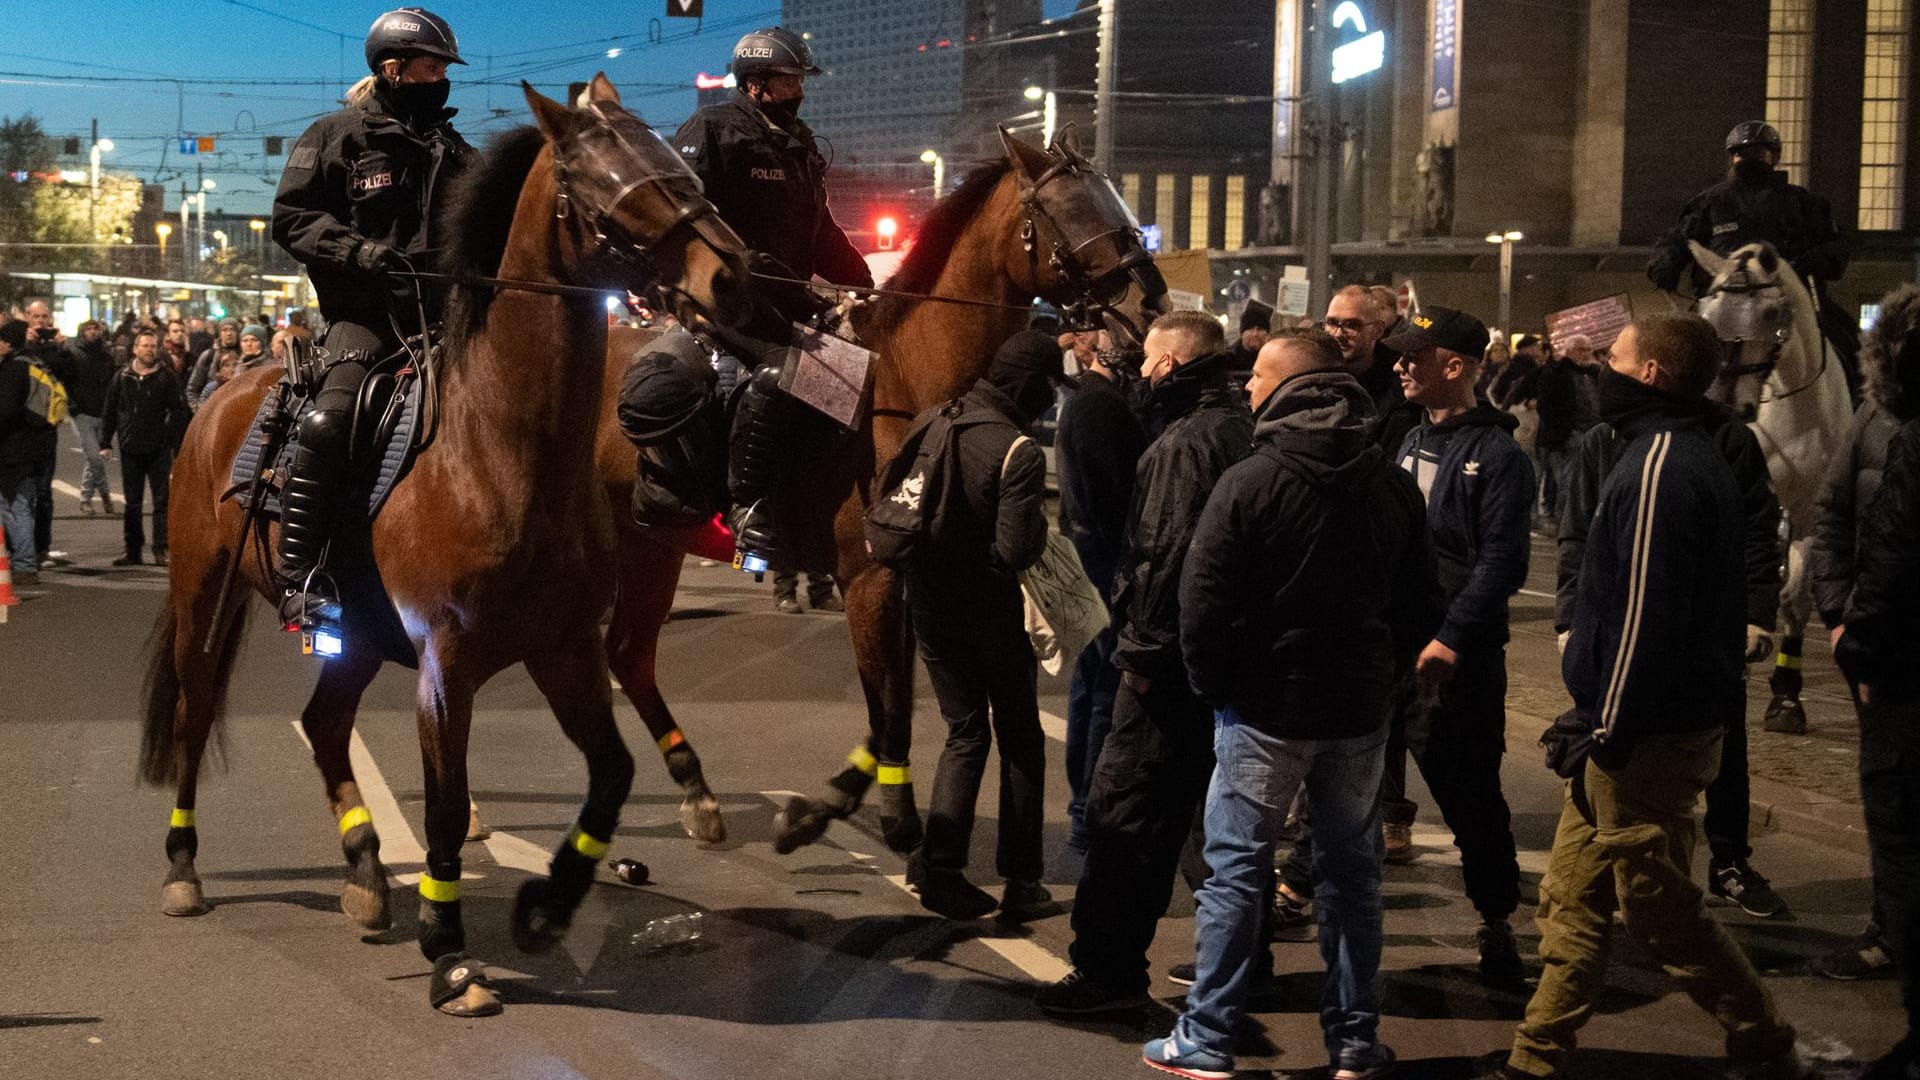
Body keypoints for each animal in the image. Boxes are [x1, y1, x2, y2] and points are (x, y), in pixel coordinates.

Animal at [135, 79, 768, 1014]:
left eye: (668, 153)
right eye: (593, 174)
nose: (734, 273)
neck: (501, 449)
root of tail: (220, 393)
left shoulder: (563, 650)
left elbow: (612, 774)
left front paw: (547, 907)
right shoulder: (446, 661)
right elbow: (444, 805)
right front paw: (449, 951)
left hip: (357, 632)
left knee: (324, 723)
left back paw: (366, 870)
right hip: (202, 593)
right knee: (194, 712)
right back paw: (184, 868)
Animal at [583, 127, 1159, 849]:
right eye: (1067, 212)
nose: (1153, 307)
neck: (904, 383)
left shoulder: (906, 582)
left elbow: (896, 703)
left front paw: (831, 804)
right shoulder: (869, 579)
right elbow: (887, 706)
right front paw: (886, 813)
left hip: (649, 544)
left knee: (627, 654)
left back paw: (696, 789)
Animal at [1697, 242, 1858, 730]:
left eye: (1770, 313)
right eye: (1705, 310)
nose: (1724, 405)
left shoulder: (1809, 513)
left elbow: (1794, 600)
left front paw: (1786, 697)